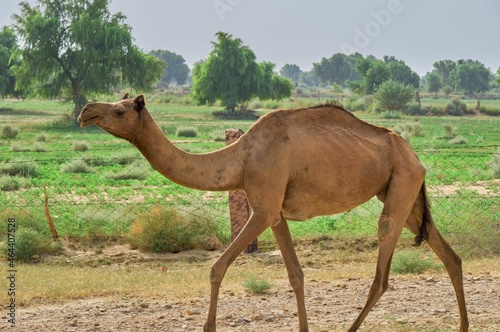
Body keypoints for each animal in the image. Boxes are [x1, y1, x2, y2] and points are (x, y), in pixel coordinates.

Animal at [78, 94, 468, 332]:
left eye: (120, 110)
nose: (85, 111)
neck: (240, 158)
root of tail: (415, 155)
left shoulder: (263, 209)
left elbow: (217, 267)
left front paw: (209, 326)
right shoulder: (276, 214)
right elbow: (296, 275)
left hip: (400, 189)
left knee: (382, 272)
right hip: (406, 195)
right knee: (449, 255)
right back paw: (463, 324)